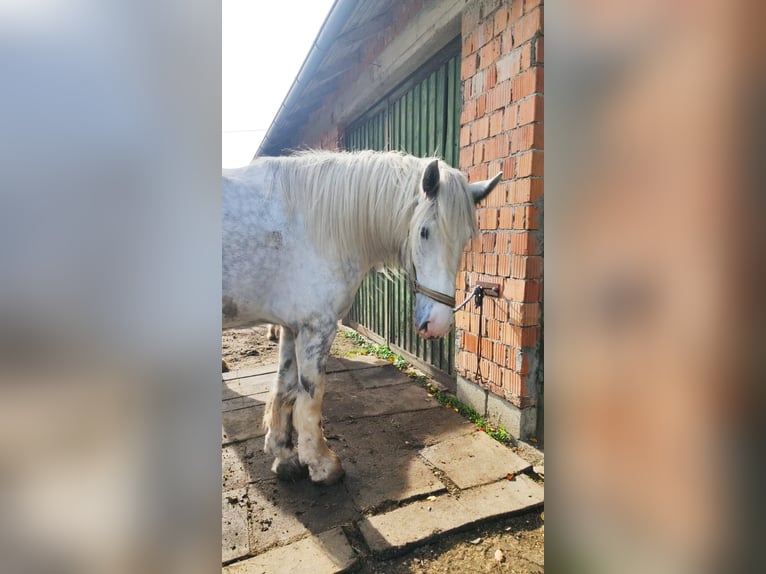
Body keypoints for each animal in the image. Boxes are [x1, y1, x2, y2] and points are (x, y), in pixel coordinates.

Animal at [222, 150, 500, 485]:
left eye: (465, 239)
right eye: (424, 232)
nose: (438, 324)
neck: (316, 225)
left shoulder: (292, 326)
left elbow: (285, 389)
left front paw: (285, 458)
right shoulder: (317, 327)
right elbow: (311, 396)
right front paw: (323, 465)